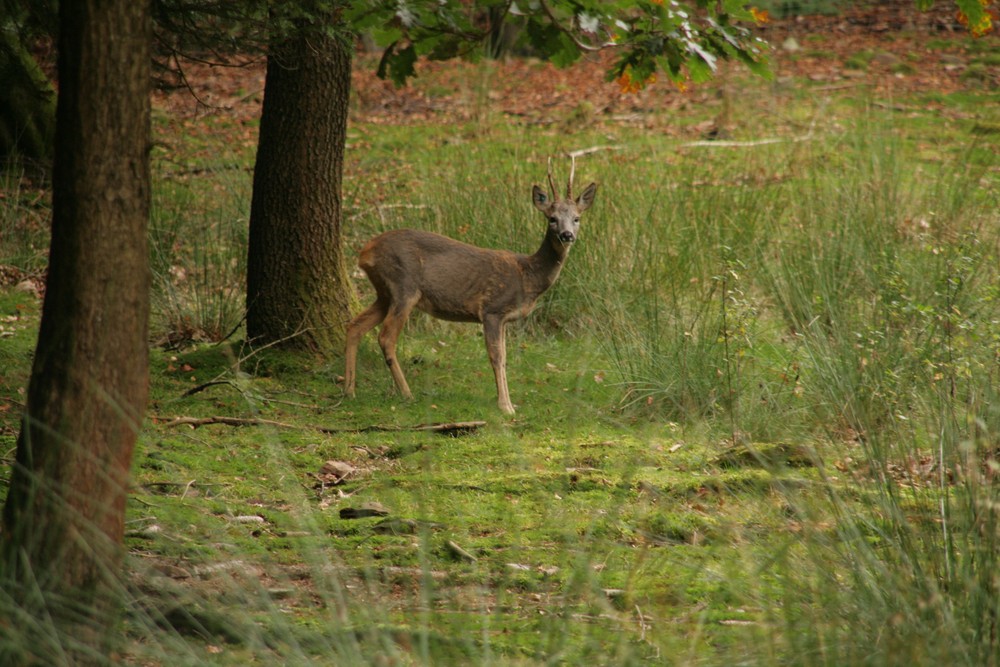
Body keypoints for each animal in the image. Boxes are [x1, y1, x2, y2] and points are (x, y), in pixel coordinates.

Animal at [344, 159, 596, 414]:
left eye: (577, 218)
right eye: (552, 218)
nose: (567, 235)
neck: (527, 276)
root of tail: (365, 253)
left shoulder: (504, 318)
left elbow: (505, 357)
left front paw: (508, 402)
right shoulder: (492, 309)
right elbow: (496, 357)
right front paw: (505, 406)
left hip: (385, 292)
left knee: (355, 326)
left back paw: (349, 390)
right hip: (403, 285)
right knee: (386, 337)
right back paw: (406, 393)